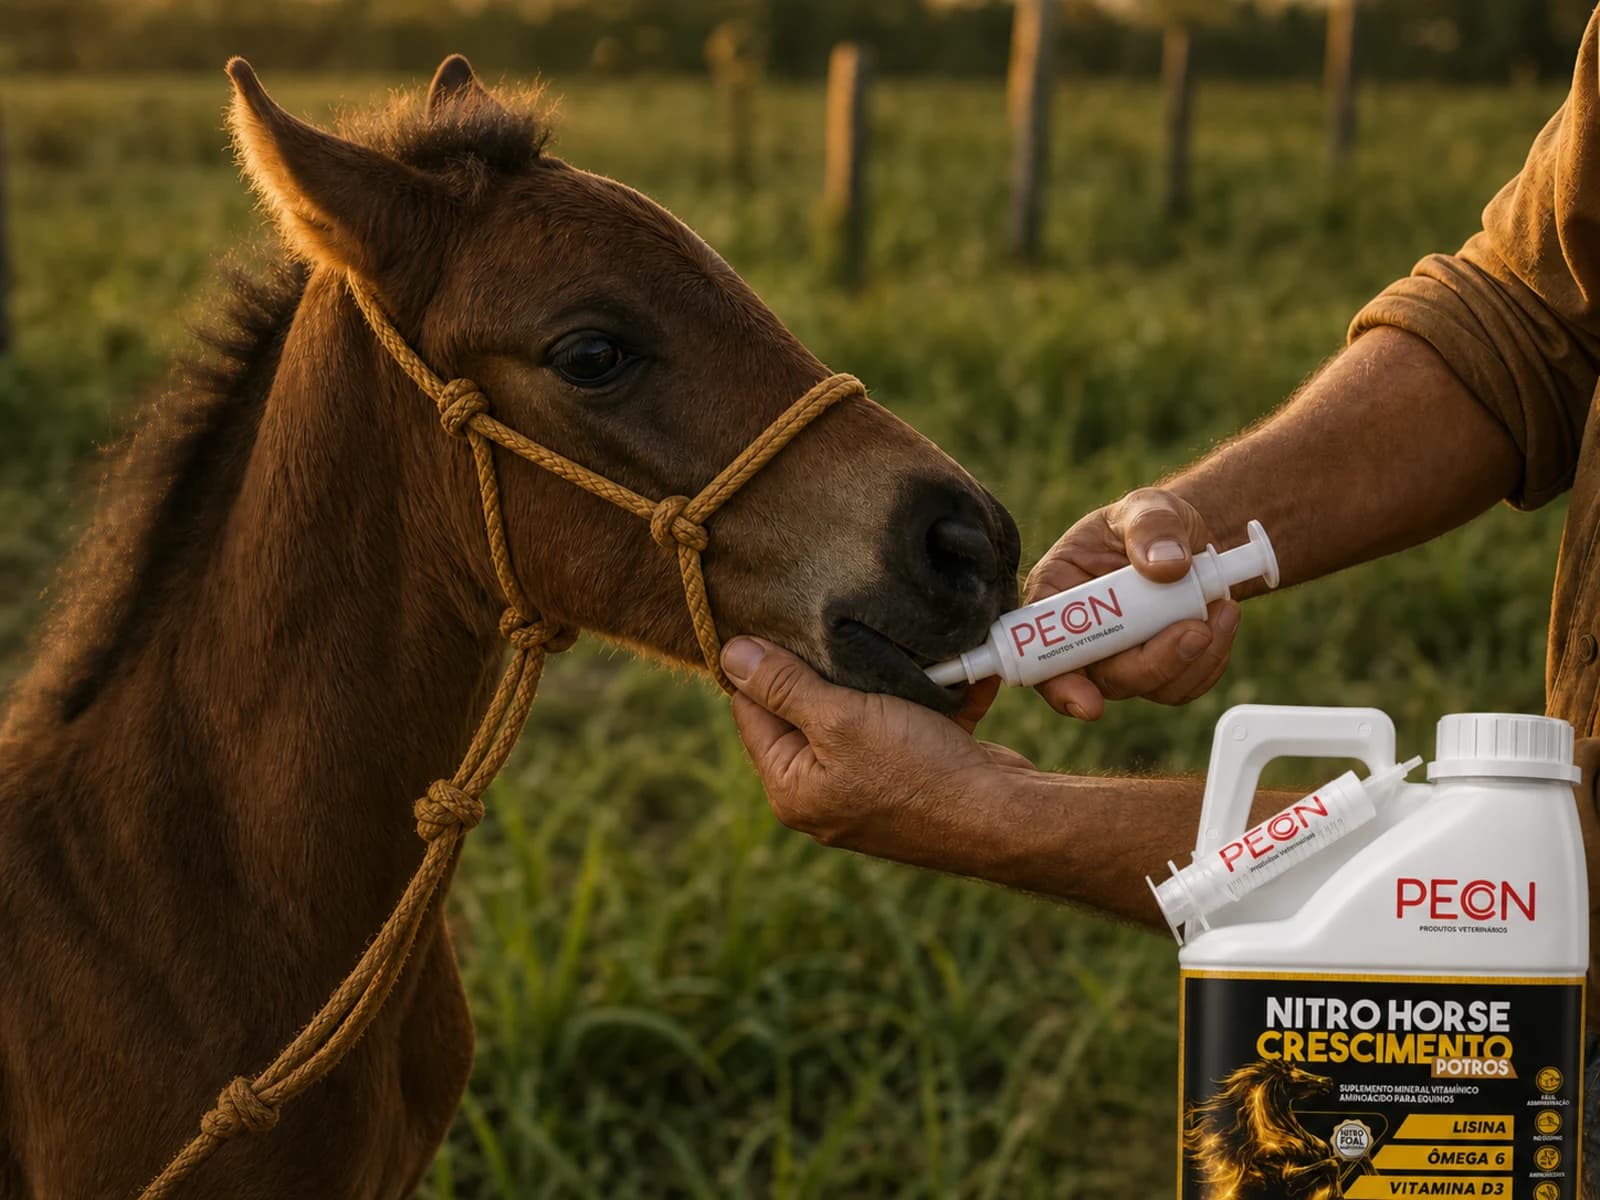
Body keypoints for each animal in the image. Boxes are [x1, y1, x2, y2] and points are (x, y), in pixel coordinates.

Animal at [1183, 1059, 1344, 1200]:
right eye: (1296, 1076)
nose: (1328, 1080)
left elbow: (1333, 1165)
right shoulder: (1288, 1178)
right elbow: (1331, 1164)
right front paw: (1335, 1194)